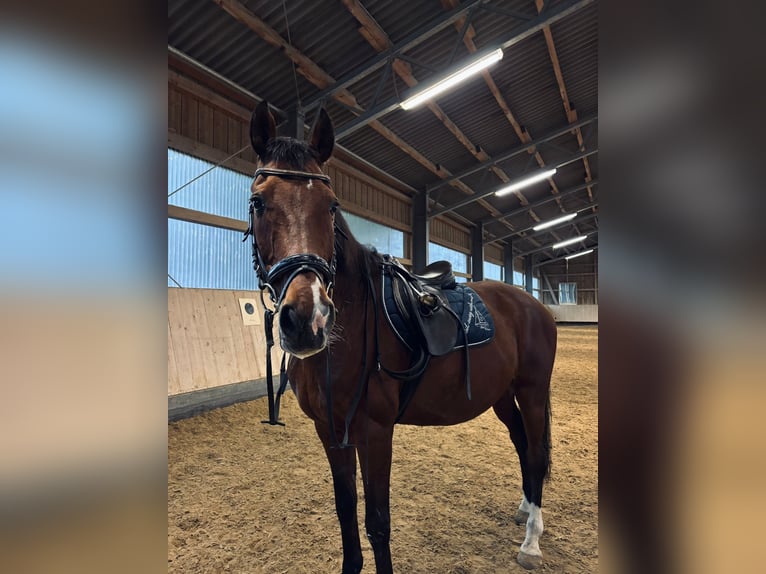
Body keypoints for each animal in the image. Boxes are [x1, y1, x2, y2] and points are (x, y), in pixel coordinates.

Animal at [245, 101, 557, 573]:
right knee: (522, 444)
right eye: (258, 201)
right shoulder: (330, 429)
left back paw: (531, 542)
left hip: (533, 390)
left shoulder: (375, 432)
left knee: (536, 454)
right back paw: (524, 510)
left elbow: (377, 522)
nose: (307, 319)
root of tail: (533, 305)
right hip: (503, 394)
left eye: (332, 206)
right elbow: (346, 510)